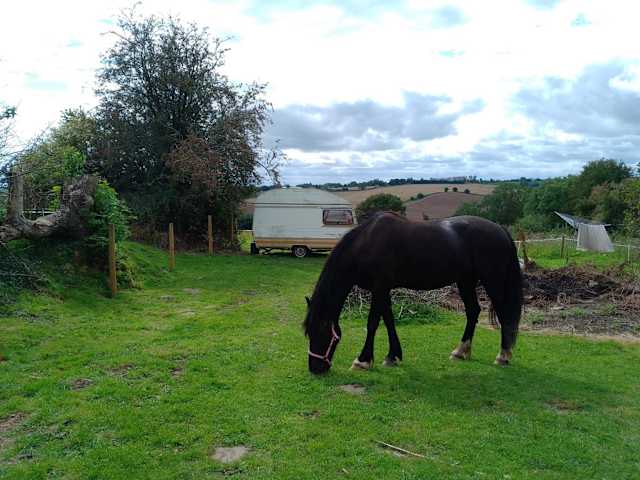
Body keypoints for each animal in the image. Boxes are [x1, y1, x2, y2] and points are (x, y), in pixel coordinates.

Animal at [303, 212, 523, 375]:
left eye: (321, 332)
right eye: (308, 333)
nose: (315, 369)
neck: (366, 243)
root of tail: (501, 230)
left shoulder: (379, 288)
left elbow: (373, 322)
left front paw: (362, 360)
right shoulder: (383, 290)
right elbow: (388, 319)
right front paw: (392, 356)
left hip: (492, 282)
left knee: (503, 314)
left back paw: (503, 356)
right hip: (465, 281)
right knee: (473, 311)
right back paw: (460, 351)